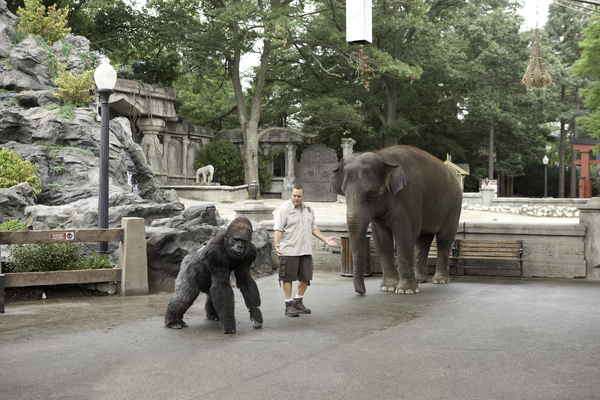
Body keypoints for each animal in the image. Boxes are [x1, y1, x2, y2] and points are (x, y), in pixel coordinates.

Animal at [330, 145, 462, 296]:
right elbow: (382, 239)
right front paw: (388, 288)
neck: (383, 157)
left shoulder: (408, 197)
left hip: (454, 205)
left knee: (444, 239)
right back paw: (420, 280)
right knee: (423, 241)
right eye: (344, 194)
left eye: (371, 194)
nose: (362, 292)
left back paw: (440, 281)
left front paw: (406, 291)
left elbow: (404, 236)